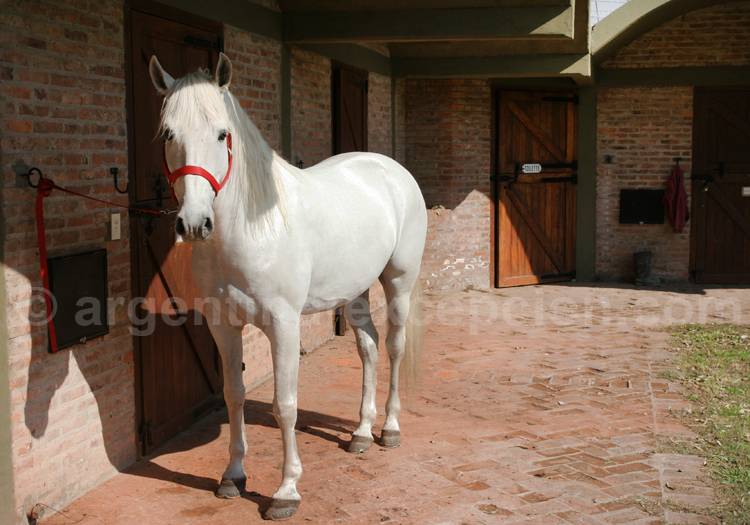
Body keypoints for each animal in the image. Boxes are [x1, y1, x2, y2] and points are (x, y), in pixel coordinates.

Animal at [148, 53, 427, 520]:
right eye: (169, 133)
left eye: (222, 133)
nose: (194, 223)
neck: (253, 229)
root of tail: (390, 169)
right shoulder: (223, 327)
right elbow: (234, 395)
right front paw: (233, 476)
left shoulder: (283, 325)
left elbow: (285, 405)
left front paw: (286, 491)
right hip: (353, 291)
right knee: (369, 347)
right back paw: (361, 433)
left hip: (398, 282)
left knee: (393, 346)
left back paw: (389, 428)